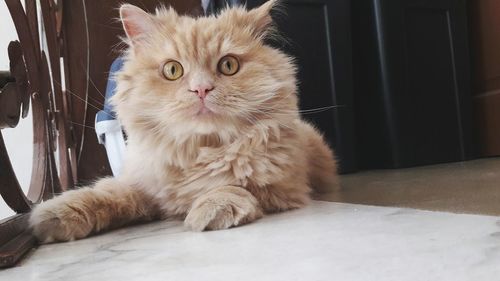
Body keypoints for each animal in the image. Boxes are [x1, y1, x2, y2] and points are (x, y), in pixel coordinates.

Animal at [29, 0, 338, 242]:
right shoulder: (145, 187)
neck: (196, 151)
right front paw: (56, 214)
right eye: (172, 70)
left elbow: (232, 182)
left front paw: (212, 206)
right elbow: (110, 193)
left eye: (228, 65)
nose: (201, 89)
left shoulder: (284, 189)